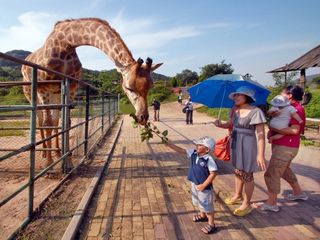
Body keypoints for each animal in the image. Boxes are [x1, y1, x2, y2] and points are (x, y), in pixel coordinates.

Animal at [21, 18, 162, 169]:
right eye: (129, 88)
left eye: (151, 86)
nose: (143, 117)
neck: (66, 44)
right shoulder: (44, 88)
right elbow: (47, 123)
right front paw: (49, 165)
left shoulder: (71, 88)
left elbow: (66, 124)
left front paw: (68, 162)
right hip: (32, 94)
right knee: (40, 120)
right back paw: (44, 153)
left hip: (56, 95)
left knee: (55, 121)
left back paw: (57, 152)